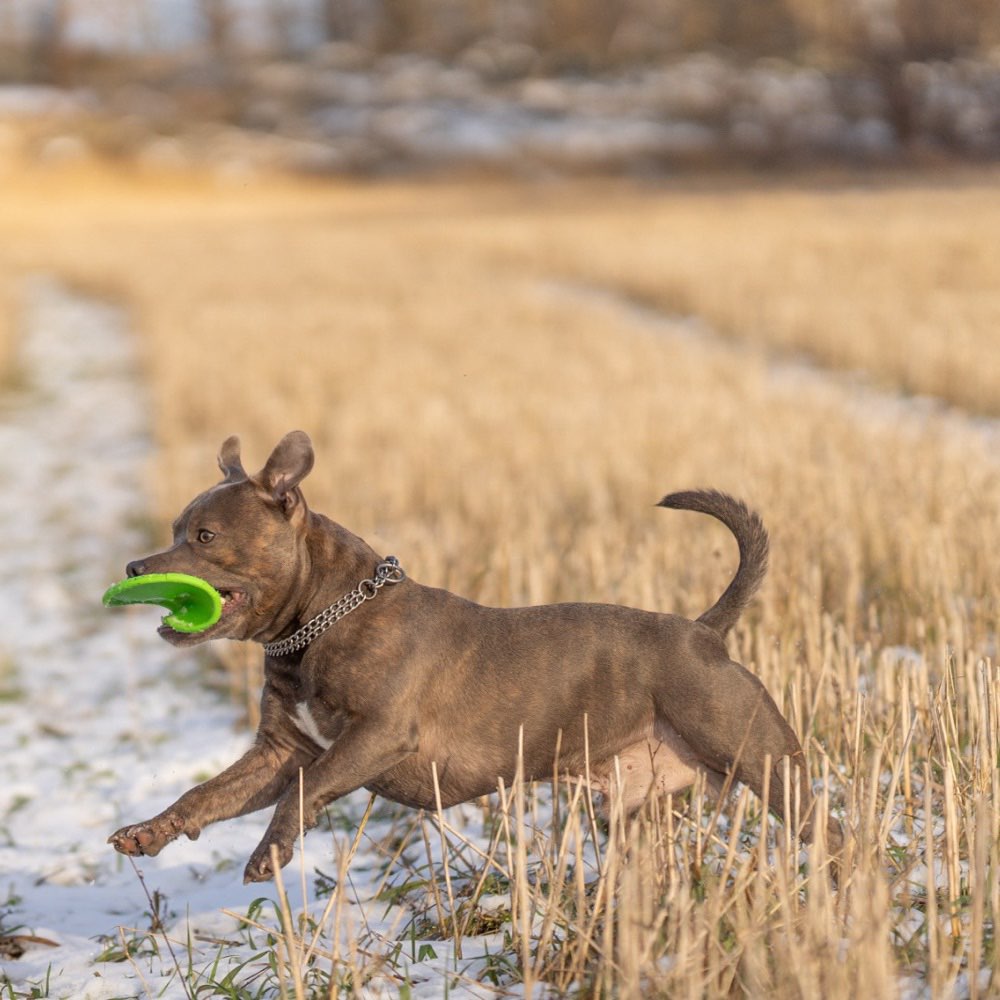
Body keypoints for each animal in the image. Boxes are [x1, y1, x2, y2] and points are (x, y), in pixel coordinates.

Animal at [109, 430, 844, 884]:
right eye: (177, 530)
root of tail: (702, 633)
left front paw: (269, 853)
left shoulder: (374, 738)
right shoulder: (279, 752)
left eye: (205, 536)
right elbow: (208, 793)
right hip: (634, 809)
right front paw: (149, 832)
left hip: (764, 763)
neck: (318, 619)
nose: (135, 566)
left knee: (823, 827)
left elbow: (304, 793)